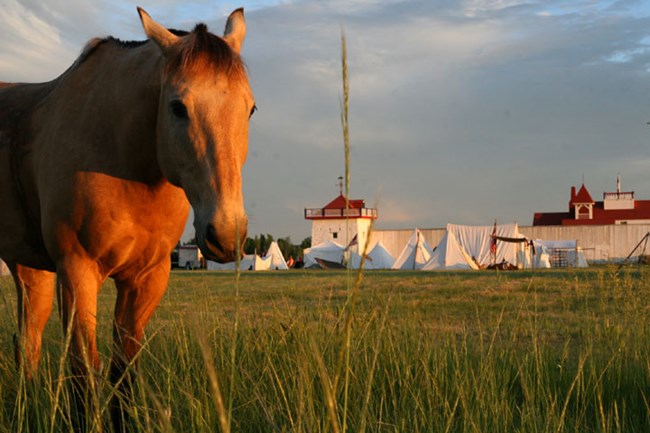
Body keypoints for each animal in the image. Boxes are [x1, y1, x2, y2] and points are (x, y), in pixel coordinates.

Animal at [0, 7, 252, 432]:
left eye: (250, 108)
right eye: (178, 107)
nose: (226, 234)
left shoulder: (146, 279)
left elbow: (123, 373)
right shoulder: (78, 272)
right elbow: (85, 372)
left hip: (30, 270)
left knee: (28, 343)